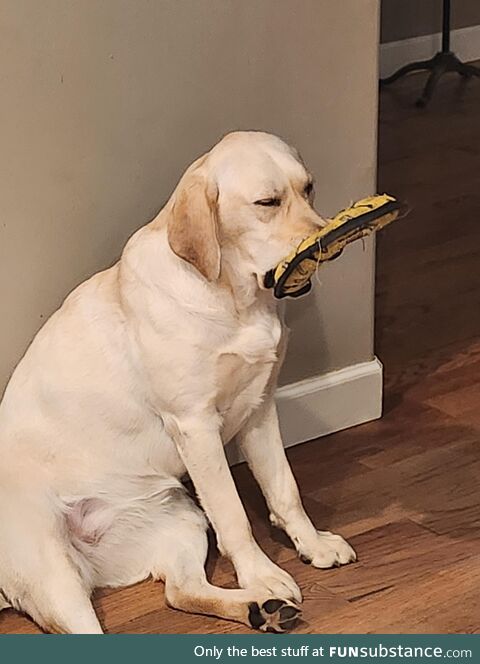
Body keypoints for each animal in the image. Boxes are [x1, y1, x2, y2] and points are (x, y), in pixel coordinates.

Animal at [0, 130, 354, 632]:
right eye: (267, 202)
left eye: (309, 188)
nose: (331, 243)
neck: (234, 299)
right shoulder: (196, 425)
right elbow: (234, 515)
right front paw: (262, 574)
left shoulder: (261, 407)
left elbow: (285, 489)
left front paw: (313, 545)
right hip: (54, 571)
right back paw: (261, 598)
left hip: (182, 519)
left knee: (180, 591)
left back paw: (260, 609)